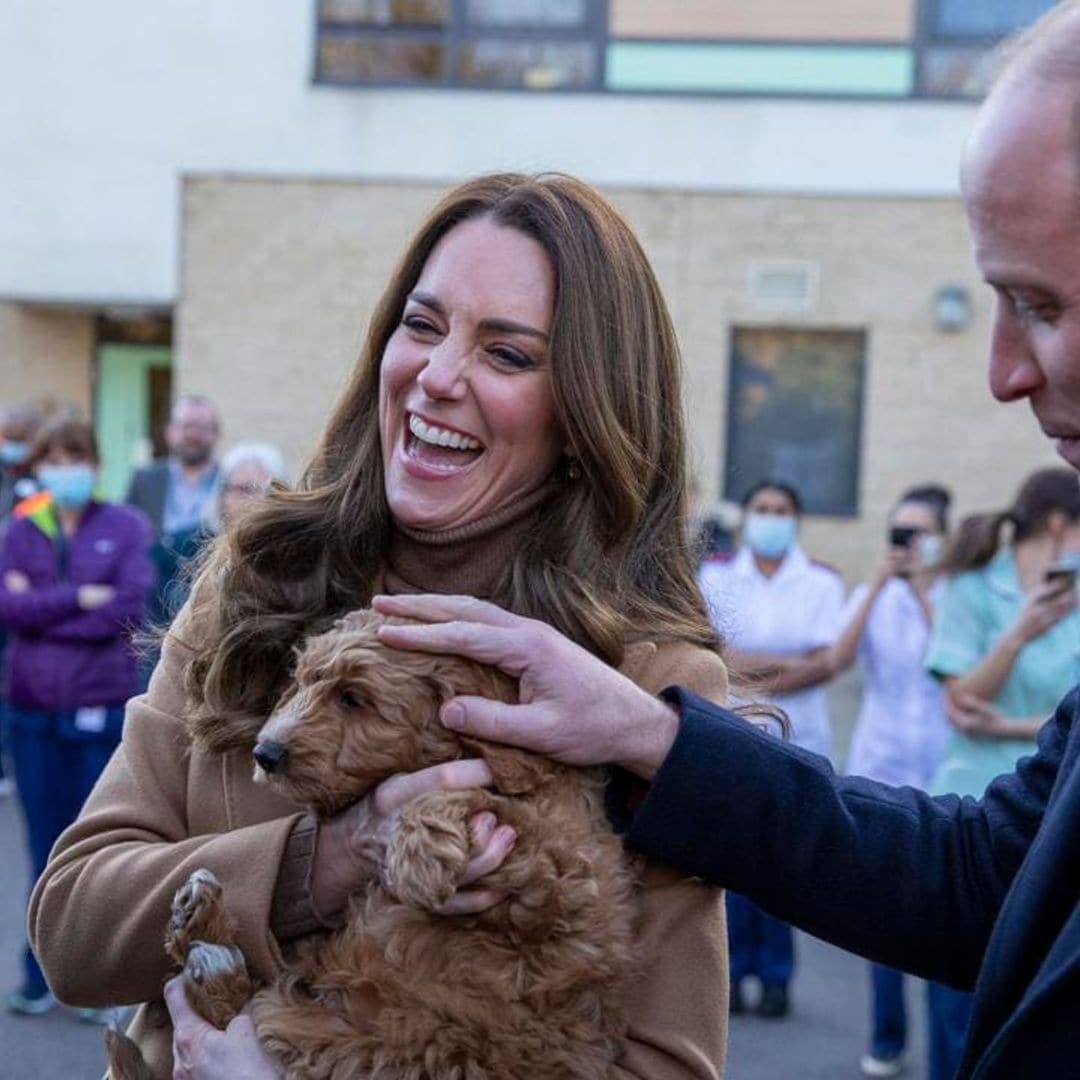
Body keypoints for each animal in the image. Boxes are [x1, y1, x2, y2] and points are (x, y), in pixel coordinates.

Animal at [108, 609, 635, 1080]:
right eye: (302, 682)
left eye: (352, 698)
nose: (266, 753)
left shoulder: (561, 880)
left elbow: (501, 811)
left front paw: (419, 851)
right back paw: (200, 923)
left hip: (373, 1041)